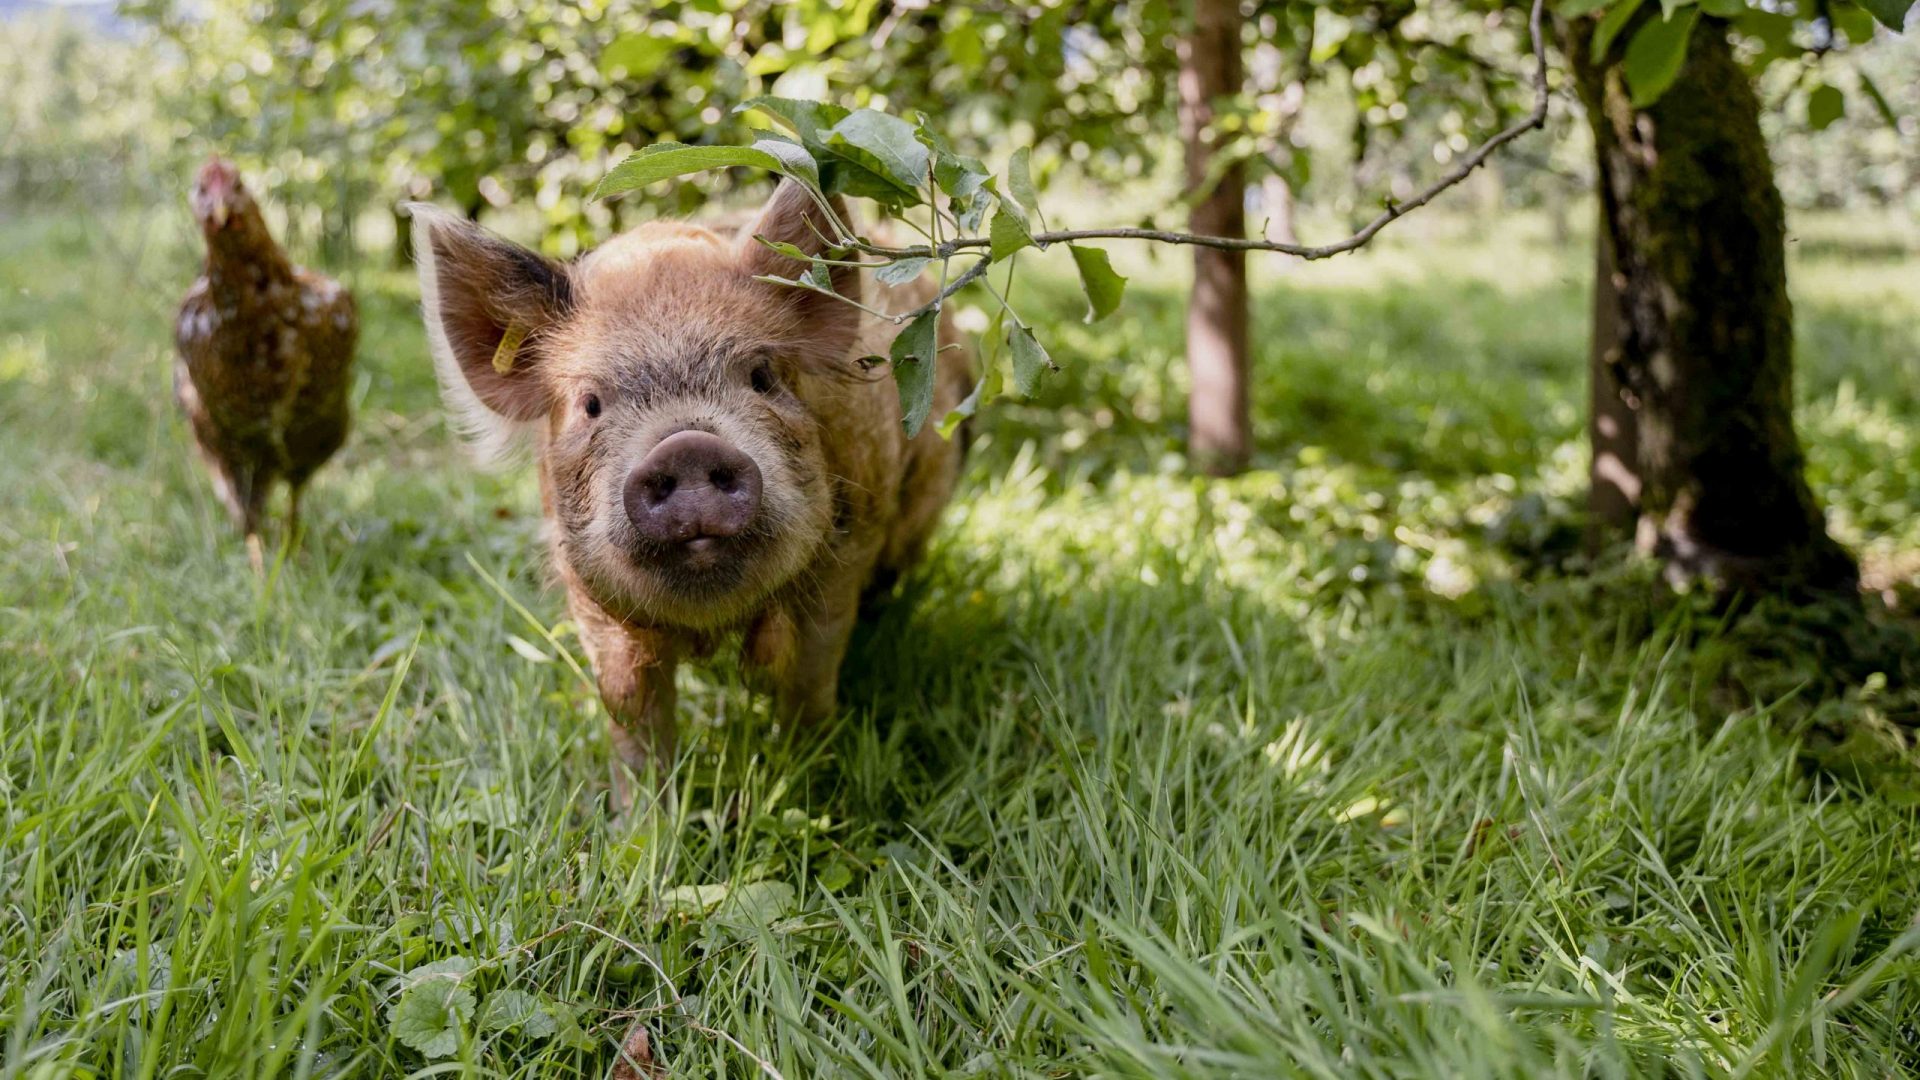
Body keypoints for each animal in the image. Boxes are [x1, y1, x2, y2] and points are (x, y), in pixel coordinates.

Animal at [410, 180, 967, 795]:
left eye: (762, 376)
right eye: (590, 404)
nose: (687, 445)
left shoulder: (847, 550)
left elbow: (810, 676)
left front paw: (807, 778)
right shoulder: (591, 601)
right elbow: (633, 712)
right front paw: (640, 815)